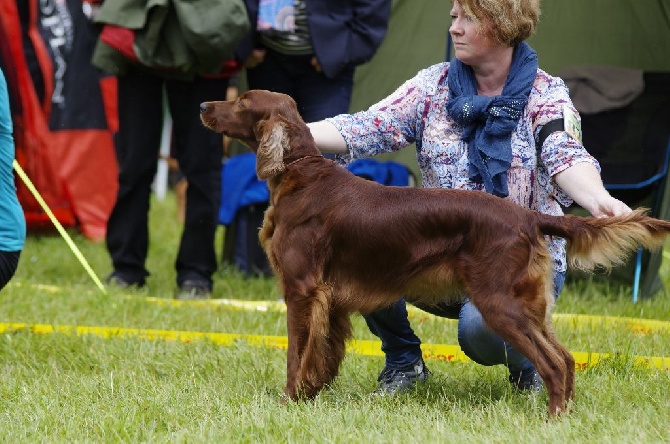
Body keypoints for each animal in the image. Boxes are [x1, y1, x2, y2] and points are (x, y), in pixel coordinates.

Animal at [202, 90, 670, 416]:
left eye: (242, 101)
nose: (205, 104)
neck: (300, 173)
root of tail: (527, 217)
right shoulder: (328, 300)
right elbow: (322, 356)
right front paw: (311, 396)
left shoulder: (301, 291)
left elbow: (296, 356)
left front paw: (288, 402)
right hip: (528, 304)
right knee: (567, 359)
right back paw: (565, 412)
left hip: (498, 303)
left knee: (552, 363)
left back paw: (553, 417)